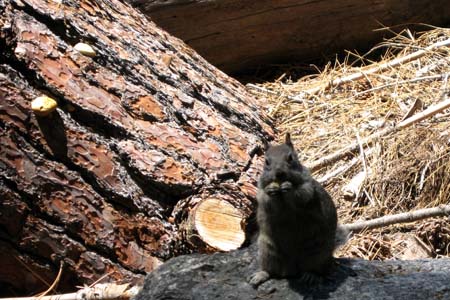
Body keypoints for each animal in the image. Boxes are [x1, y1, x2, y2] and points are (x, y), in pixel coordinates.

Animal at [246, 133, 348, 286]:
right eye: (266, 162)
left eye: (290, 158)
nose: (279, 173)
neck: (281, 196)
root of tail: (291, 270)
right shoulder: (260, 192)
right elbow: (266, 200)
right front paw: (271, 190)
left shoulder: (308, 187)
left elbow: (302, 194)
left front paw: (289, 188)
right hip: (267, 251)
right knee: (271, 271)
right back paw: (260, 275)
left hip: (318, 253)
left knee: (317, 269)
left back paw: (311, 276)